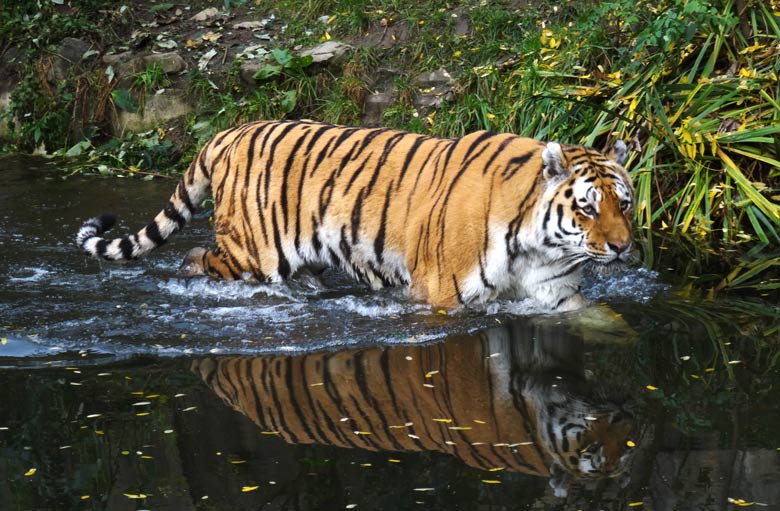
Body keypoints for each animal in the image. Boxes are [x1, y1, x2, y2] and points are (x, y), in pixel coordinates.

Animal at [74, 121, 632, 312]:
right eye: (587, 207)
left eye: (624, 204)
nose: (624, 247)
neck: (535, 242)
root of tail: (228, 131)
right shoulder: (441, 296)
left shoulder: (556, 296)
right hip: (250, 254)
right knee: (195, 257)